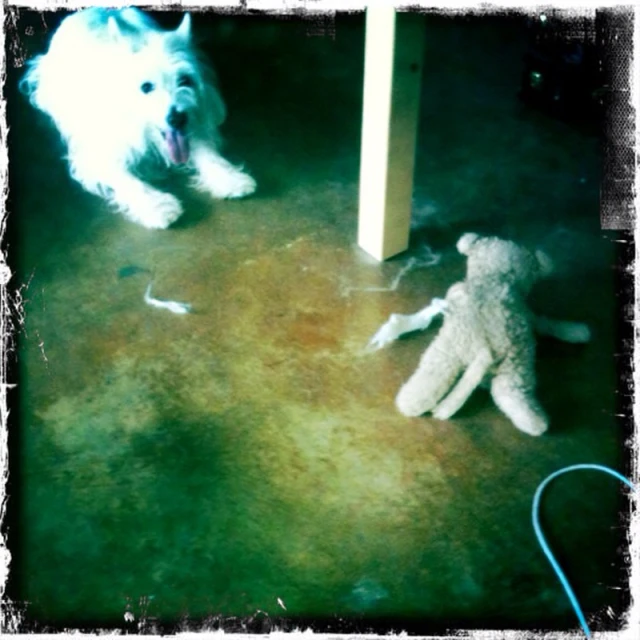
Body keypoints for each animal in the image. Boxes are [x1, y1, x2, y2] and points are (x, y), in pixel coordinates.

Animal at [22, 7, 258, 229]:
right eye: (146, 87)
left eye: (185, 80)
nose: (177, 119)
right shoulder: (98, 154)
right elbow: (127, 180)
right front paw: (157, 207)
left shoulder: (193, 122)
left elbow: (207, 152)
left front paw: (229, 179)